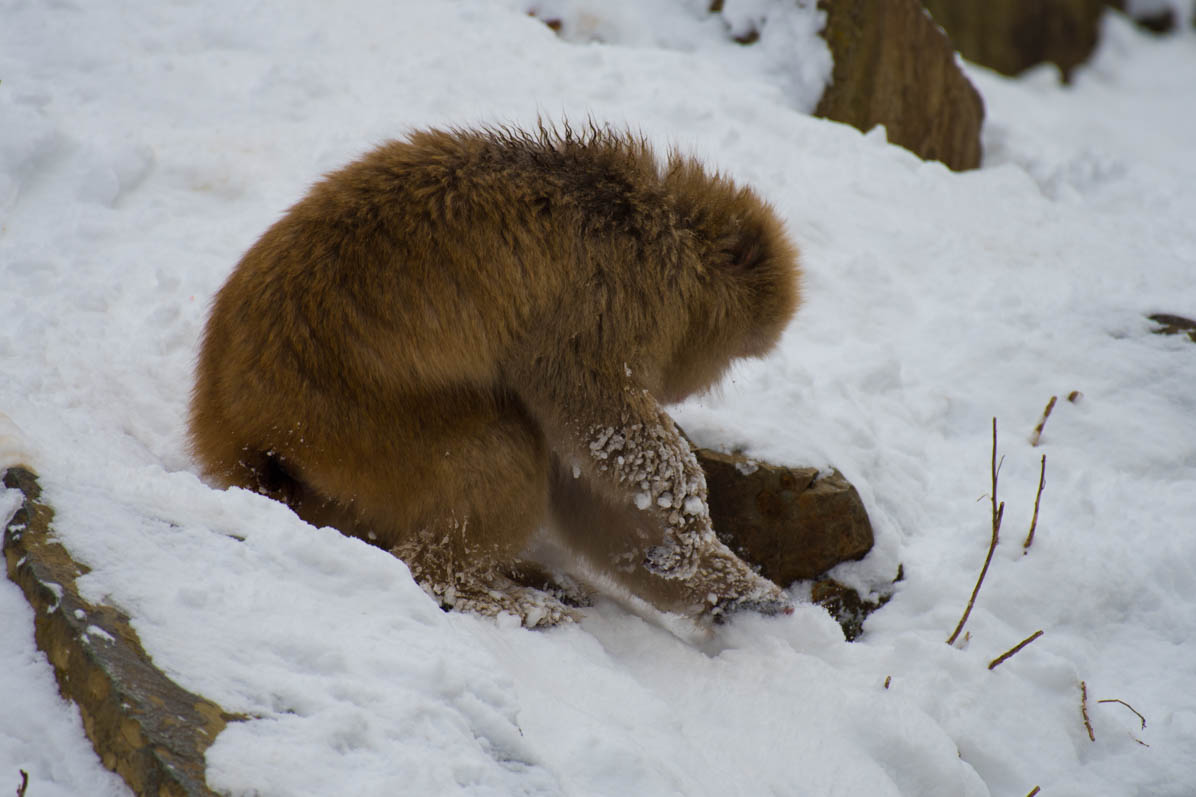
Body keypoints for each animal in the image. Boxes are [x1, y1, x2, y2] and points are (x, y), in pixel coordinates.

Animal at [189, 123, 801, 627]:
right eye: (739, 353)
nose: (695, 385)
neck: (661, 230)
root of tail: (225, 423)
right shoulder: (609, 297)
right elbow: (594, 406)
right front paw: (688, 513)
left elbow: (592, 491)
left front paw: (742, 597)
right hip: (343, 431)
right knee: (499, 447)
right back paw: (476, 590)